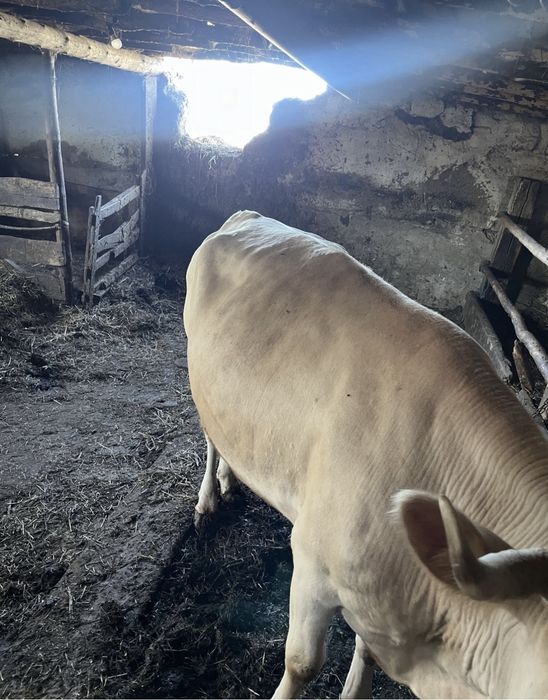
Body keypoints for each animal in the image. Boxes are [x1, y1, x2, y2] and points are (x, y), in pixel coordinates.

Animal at [183, 210, 548, 699]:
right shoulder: (312, 562)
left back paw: (229, 480)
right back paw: (208, 499)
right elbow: (302, 664)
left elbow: (366, 651)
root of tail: (248, 215)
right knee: (209, 435)